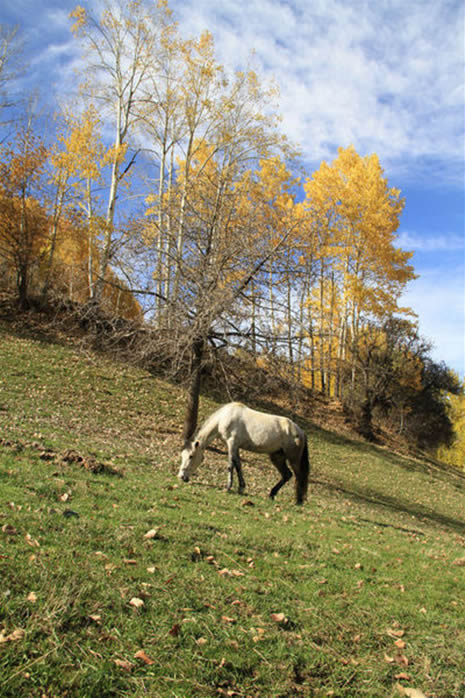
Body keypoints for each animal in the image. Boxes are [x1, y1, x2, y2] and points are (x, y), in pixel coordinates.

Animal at [179, 400, 310, 502]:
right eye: (182, 456)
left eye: (191, 456)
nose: (181, 477)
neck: (224, 417)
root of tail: (301, 431)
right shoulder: (236, 447)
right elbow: (238, 465)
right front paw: (241, 488)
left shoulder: (231, 443)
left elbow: (230, 465)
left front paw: (228, 487)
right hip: (277, 457)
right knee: (287, 475)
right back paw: (272, 494)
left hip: (293, 459)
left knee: (299, 476)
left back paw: (298, 500)